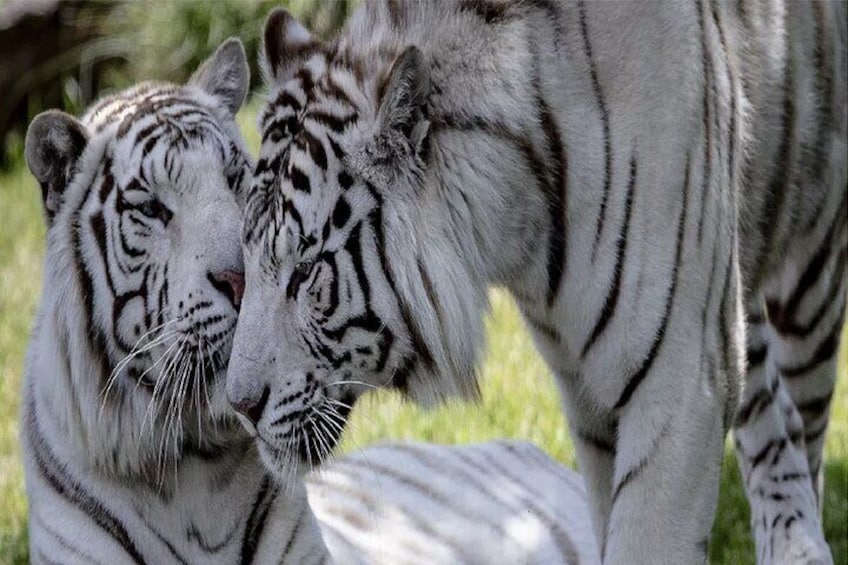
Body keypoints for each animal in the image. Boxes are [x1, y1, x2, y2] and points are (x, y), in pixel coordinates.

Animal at [227, 2, 848, 560]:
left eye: (305, 270)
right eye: (249, 263)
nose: (239, 406)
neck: (522, 229)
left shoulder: (679, 381)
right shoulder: (591, 396)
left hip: (809, 283)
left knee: (806, 425)